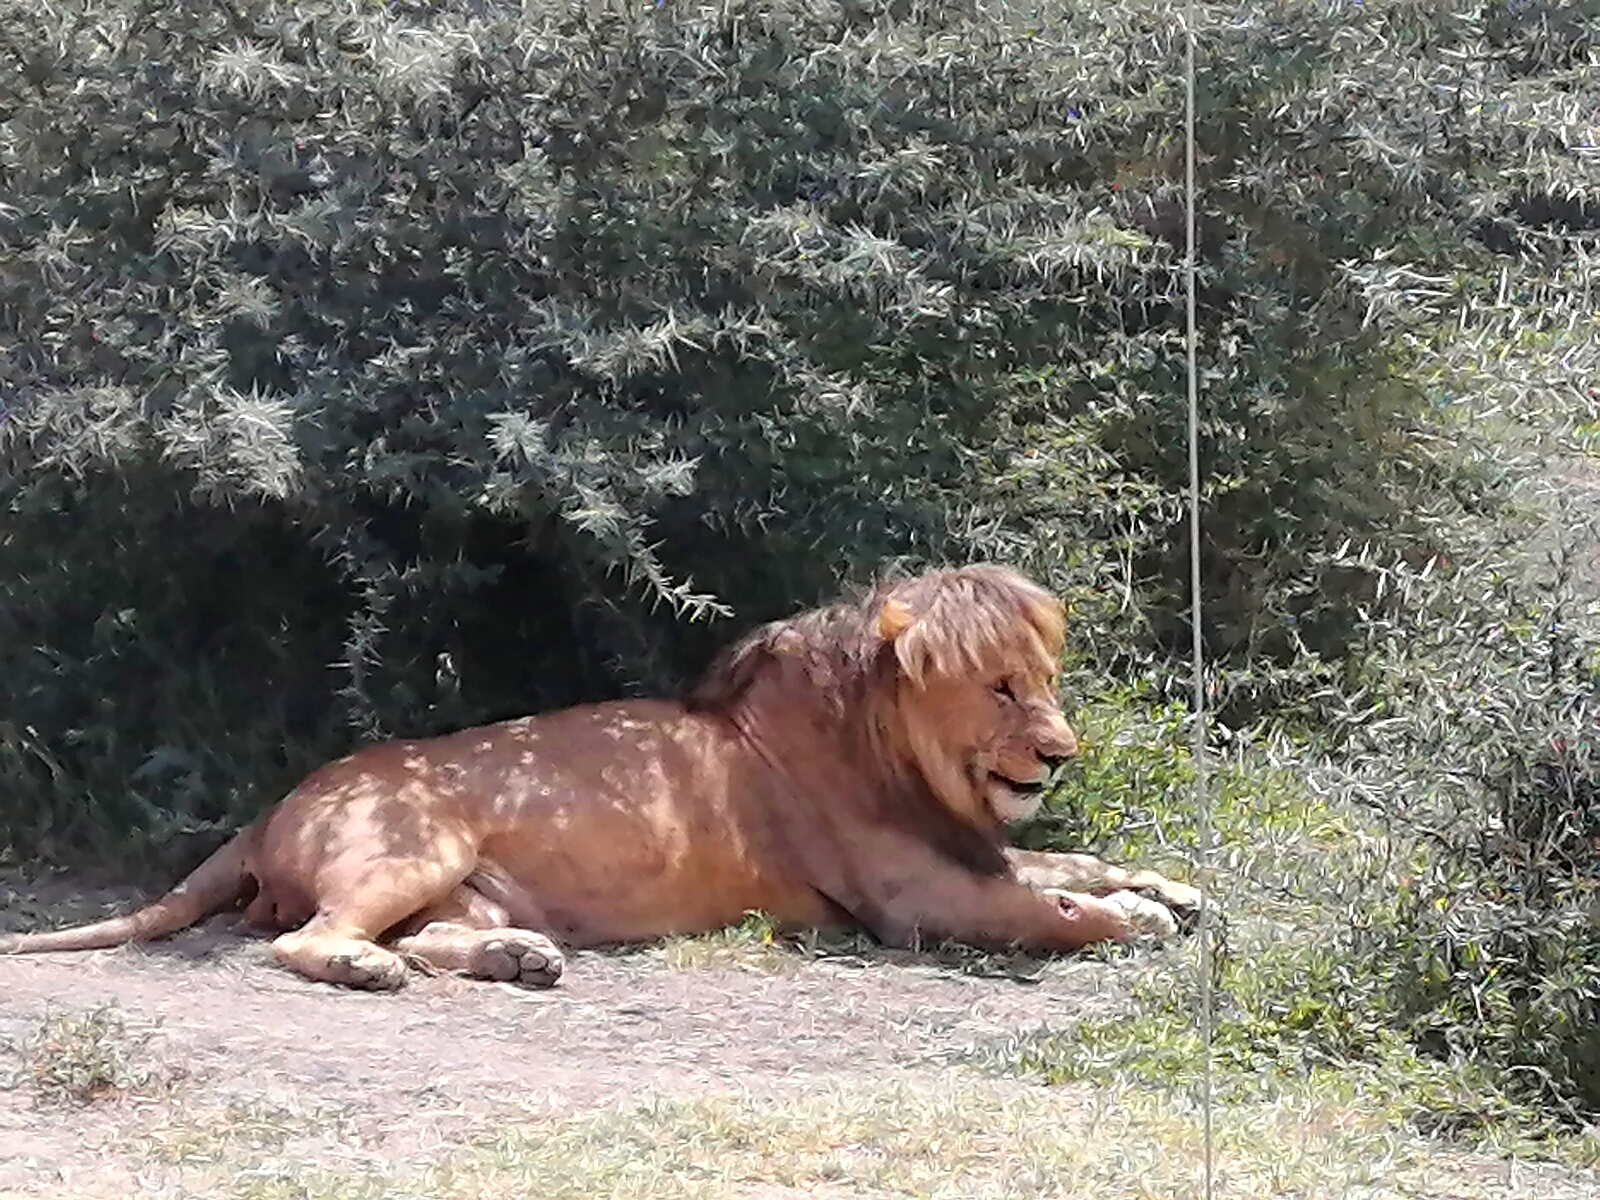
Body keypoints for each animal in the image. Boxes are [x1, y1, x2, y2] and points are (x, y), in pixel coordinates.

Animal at [0, 563, 1201, 990]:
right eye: (1000, 689)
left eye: (1046, 680)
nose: (1062, 751)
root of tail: (265, 815)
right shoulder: (916, 896)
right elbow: (1047, 910)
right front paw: (1138, 921)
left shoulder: (971, 847)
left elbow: (1071, 860)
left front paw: (1167, 886)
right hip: (410, 842)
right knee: (309, 941)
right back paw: (371, 971)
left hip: (461, 883)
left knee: (428, 936)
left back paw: (517, 958)